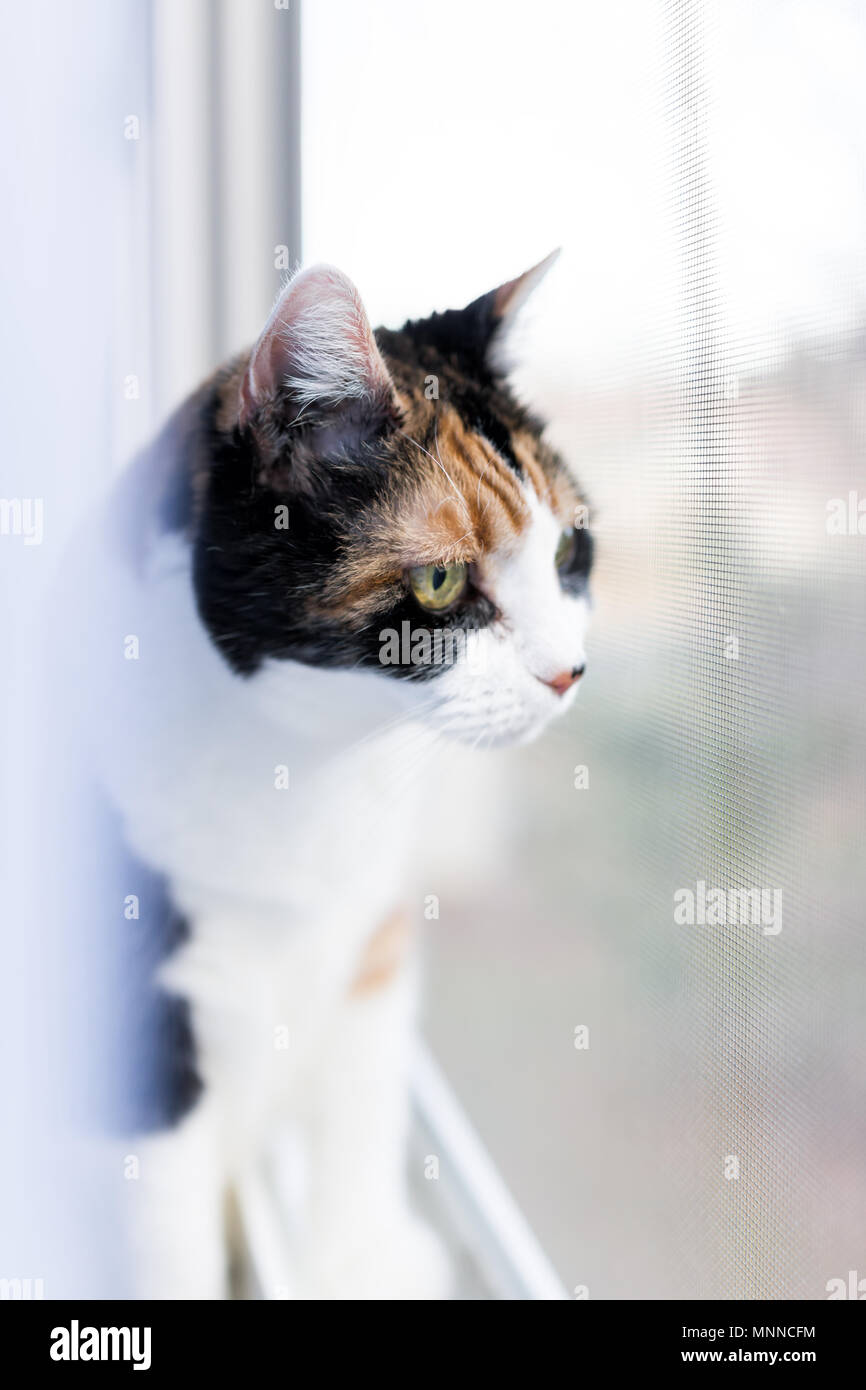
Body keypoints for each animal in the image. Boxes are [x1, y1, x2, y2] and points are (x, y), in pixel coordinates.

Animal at [89, 252, 589, 1301]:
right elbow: (165, 1232)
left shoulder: (370, 942)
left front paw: (363, 1262)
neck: (300, 772)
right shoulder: (142, 1036)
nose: (571, 671)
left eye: (568, 549)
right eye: (440, 583)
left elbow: (361, 1115)